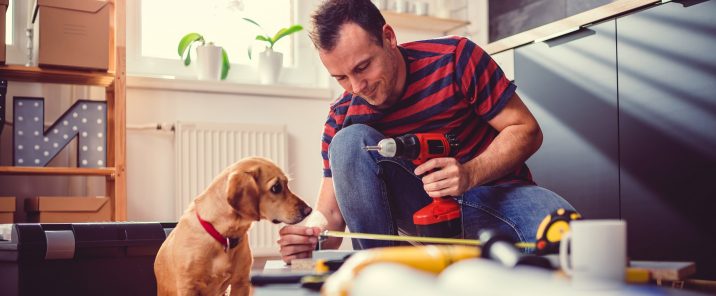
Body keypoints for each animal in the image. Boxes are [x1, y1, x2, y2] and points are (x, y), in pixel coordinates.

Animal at [154, 156, 310, 294]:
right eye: (276, 187)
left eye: (287, 184)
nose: (308, 210)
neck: (223, 236)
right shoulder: (188, 287)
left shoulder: (241, 283)